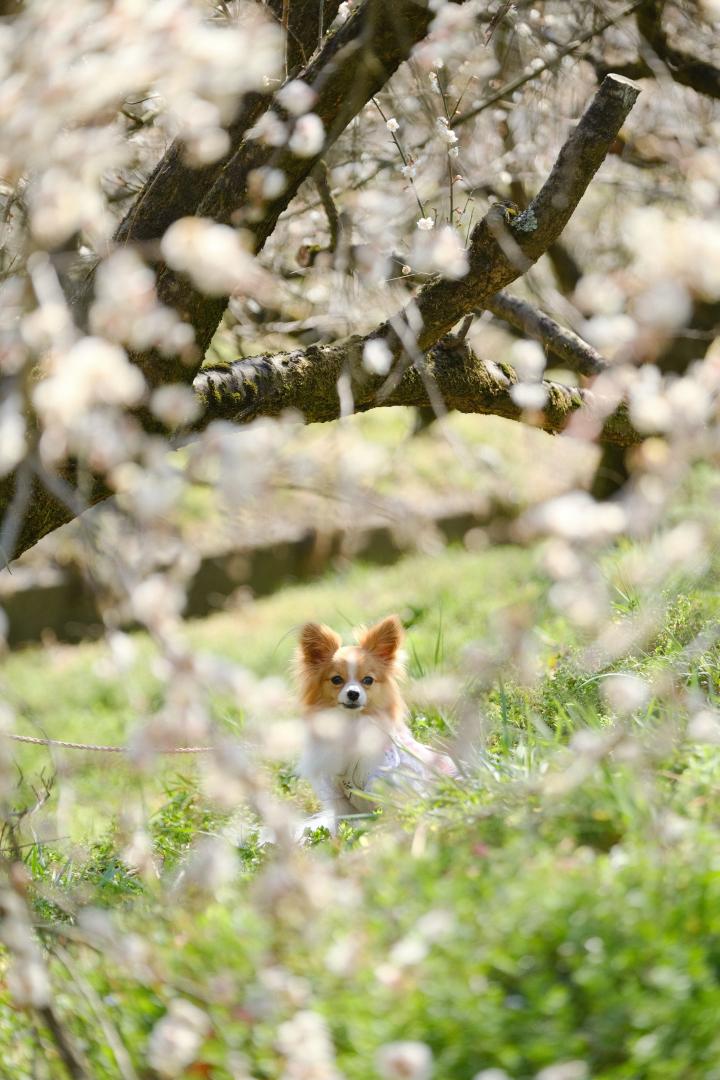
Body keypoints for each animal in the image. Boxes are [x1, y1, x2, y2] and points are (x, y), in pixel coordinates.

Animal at [297, 613, 455, 829]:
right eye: (336, 680)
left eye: (368, 680)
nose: (353, 694)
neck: (352, 724)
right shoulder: (338, 797)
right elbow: (341, 823)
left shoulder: (383, 779)